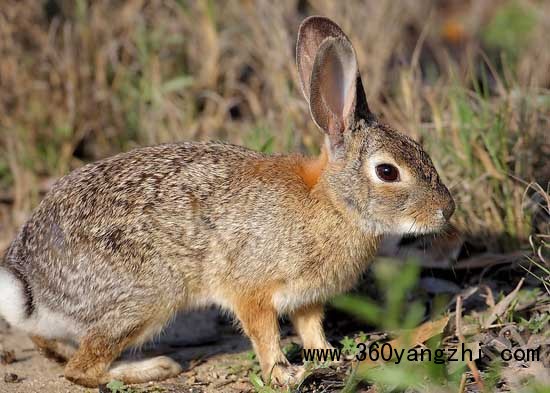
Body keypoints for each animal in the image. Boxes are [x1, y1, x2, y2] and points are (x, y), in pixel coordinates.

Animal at [0, 16, 458, 386]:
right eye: (387, 172)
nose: (446, 210)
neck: (331, 202)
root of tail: (32, 283)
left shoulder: (307, 298)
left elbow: (310, 327)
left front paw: (328, 356)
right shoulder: (251, 288)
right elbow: (263, 333)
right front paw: (284, 374)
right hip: (147, 295)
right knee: (81, 369)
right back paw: (153, 368)